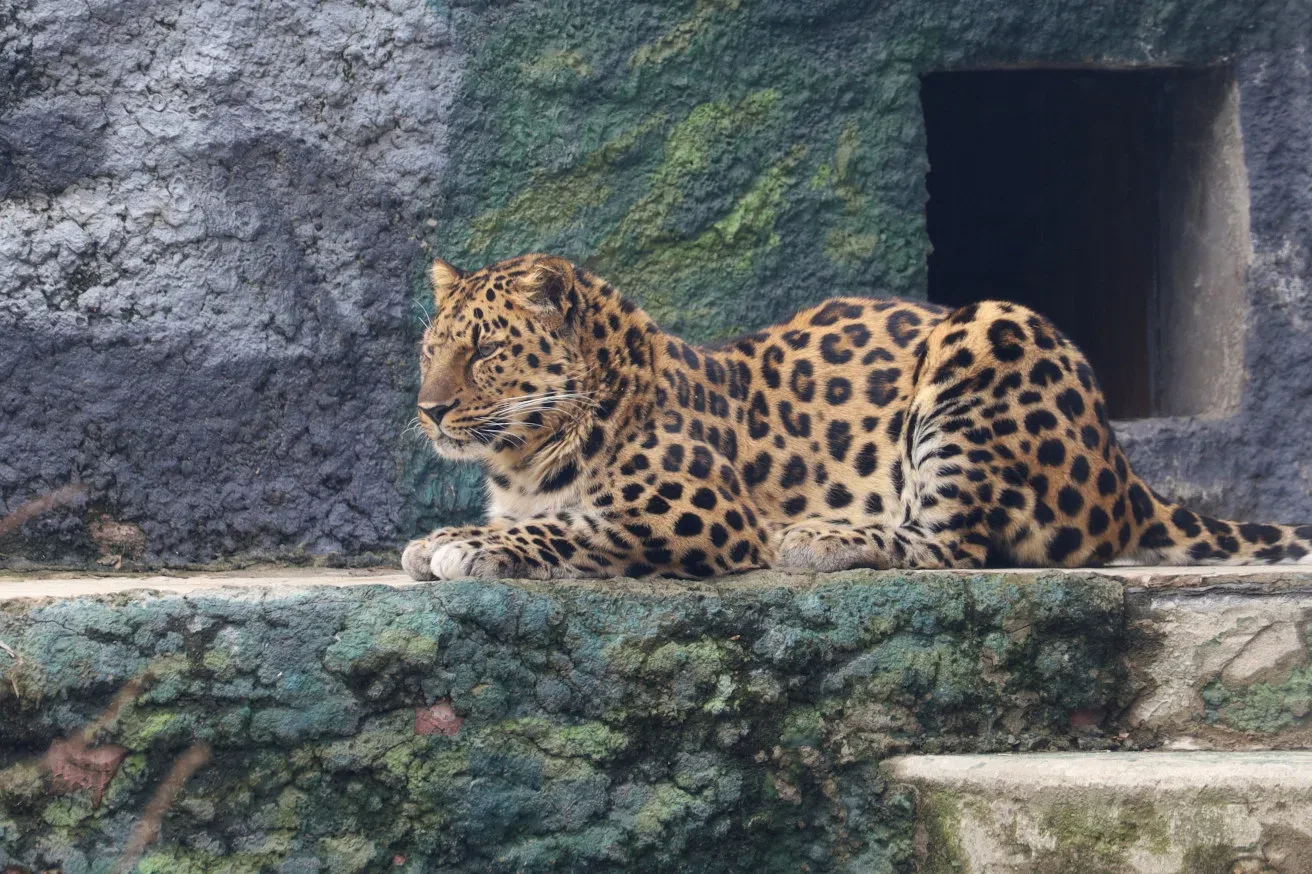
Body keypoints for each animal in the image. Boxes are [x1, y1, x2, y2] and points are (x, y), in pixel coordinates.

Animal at [402, 253, 1312, 581]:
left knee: (950, 546)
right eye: (430, 349)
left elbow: (573, 525)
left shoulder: (702, 514)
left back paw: (821, 539)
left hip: (989, 332)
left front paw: (461, 546)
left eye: (486, 352)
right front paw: (450, 536)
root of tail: (1126, 475)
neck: (523, 457)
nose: (429, 410)